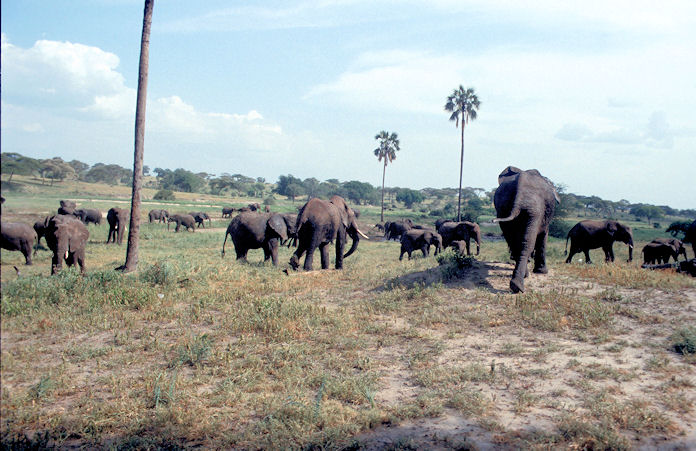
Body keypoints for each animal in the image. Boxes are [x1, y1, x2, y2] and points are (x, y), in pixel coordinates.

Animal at [492, 166, 564, 294]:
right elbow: (543, 235)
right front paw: (542, 272)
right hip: (535, 210)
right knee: (527, 243)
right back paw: (520, 284)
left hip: (504, 208)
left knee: (515, 241)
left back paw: (518, 281)